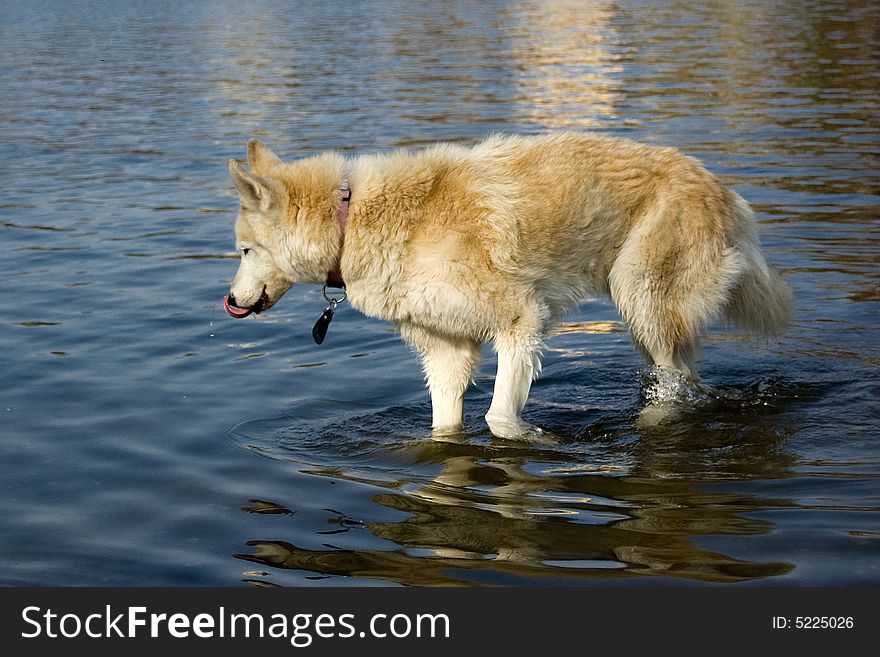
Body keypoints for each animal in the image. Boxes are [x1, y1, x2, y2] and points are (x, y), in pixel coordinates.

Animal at [223, 131, 796, 438]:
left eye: (245, 251)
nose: (229, 300)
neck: (353, 221)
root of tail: (724, 191)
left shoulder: (522, 323)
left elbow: (498, 416)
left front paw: (534, 438)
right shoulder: (448, 354)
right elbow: (446, 425)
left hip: (641, 303)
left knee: (677, 388)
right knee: (688, 379)